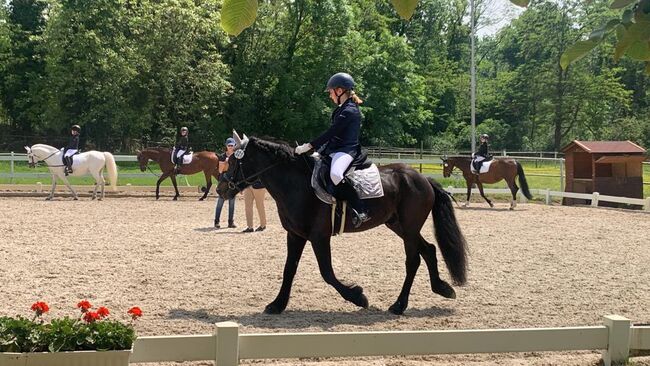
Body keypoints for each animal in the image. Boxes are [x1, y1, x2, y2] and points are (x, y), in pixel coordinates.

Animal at [216, 133, 466, 316]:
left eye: (234, 160)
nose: (220, 189)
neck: (296, 184)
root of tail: (422, 178)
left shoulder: (319, 236)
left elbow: (327, 273)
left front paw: (358, 297)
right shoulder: (295, 235)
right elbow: (289, 269)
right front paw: (277, 305)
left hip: (409, 228)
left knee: (413, 260)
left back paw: (399, 305)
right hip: (400, 227)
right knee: (429, 250)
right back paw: (442, 288)